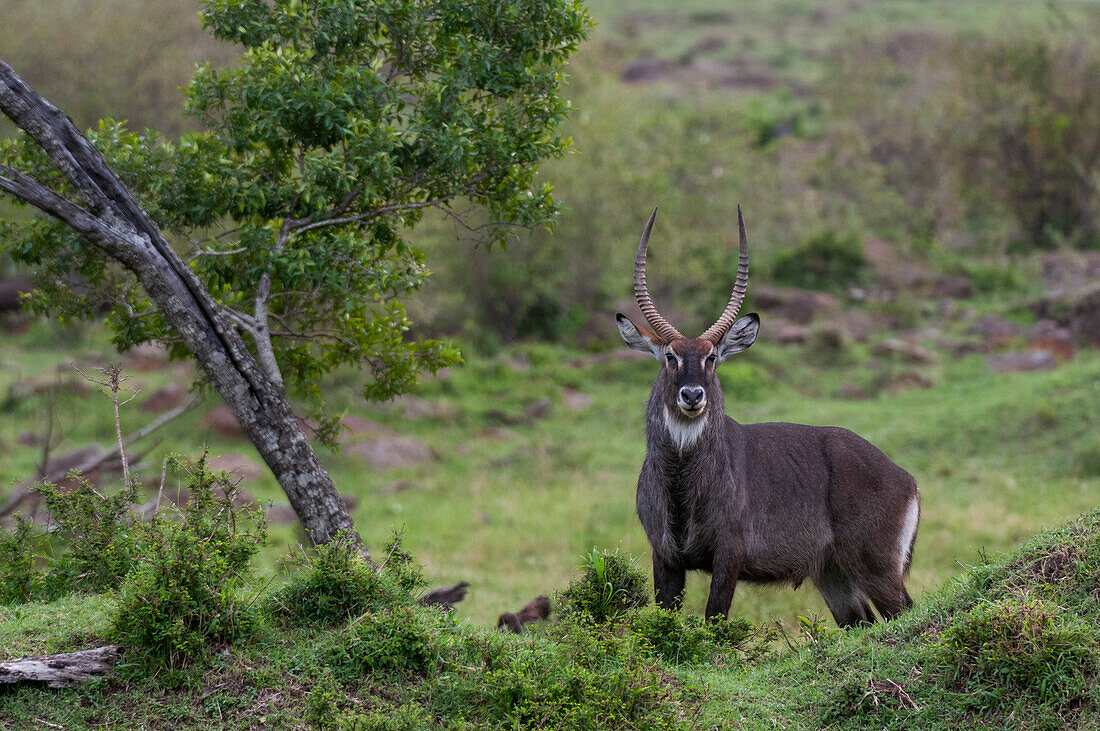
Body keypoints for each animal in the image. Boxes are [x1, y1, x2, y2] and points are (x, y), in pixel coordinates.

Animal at [620, 206, 919, 628]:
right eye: (669, 356)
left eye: (712, 357)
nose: (692, 395)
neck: (681, 484)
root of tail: (907, 480)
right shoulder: (664, 556)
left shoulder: (729, 553)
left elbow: (715, 619)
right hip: (833, 574)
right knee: (862, 622)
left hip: (876, 566)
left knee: (906, 612)